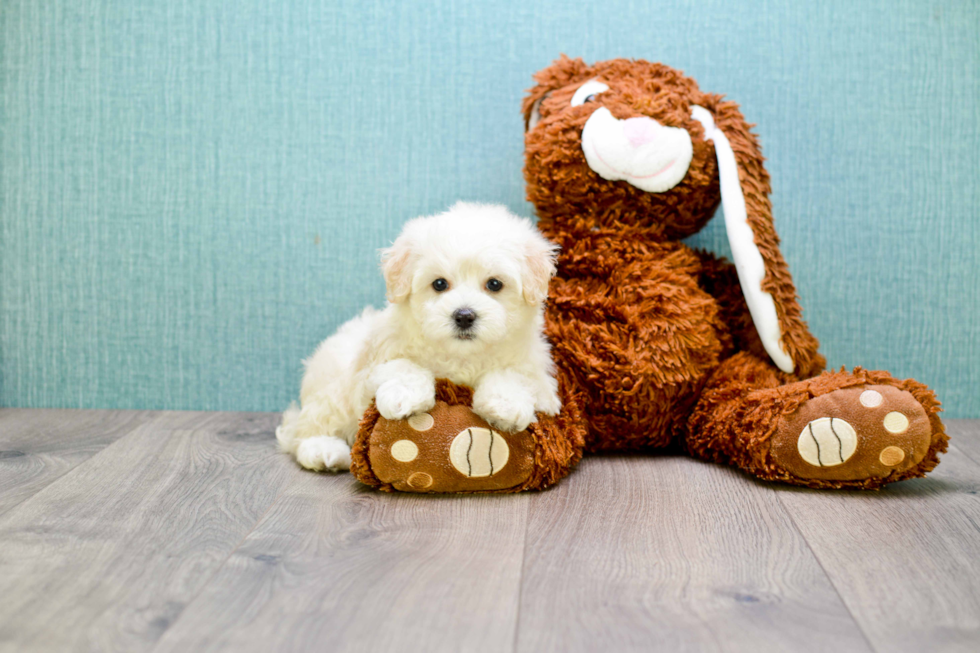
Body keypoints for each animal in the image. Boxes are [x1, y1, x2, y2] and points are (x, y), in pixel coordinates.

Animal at [280, 201, 564, 472]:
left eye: (494, 284)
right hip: (331, 388)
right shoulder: (374, 362)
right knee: (307, 428)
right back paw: (323, 451)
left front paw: (505, 406)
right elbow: (403, 367)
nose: (464, 315)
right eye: (439, 284)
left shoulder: (537, 372)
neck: (461, 356)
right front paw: (405, 397)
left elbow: (515, 375)